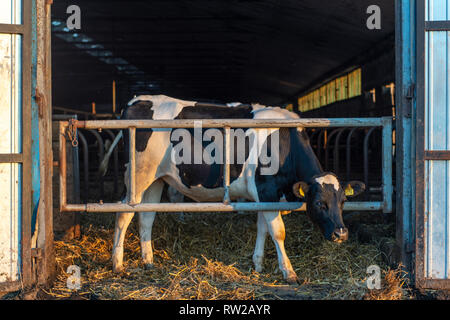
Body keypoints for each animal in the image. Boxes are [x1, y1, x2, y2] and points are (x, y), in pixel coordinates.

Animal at [112, 94, 366, 282]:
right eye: (319, 203)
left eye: (343, 201)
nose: (341, 234)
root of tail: (137, 100)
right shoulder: (266, 190)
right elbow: (278, 231)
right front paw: (289, 272)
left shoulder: (266, 196)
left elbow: (263, 228)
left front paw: (258, 264)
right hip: (136, 176)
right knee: (123, 214)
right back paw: (117, 264)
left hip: (156, 178)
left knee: (146, 216)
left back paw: (148, 261)